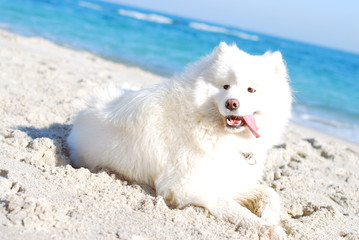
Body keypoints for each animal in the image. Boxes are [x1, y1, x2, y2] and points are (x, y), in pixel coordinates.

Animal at [67, 42, 292, 239]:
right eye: (225, 86)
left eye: (251, 90)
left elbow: (271, 194)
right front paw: (266, 227)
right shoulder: (185, 186)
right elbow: (233, 207)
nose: (231, 103)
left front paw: (270, 218)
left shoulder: (229, 179)